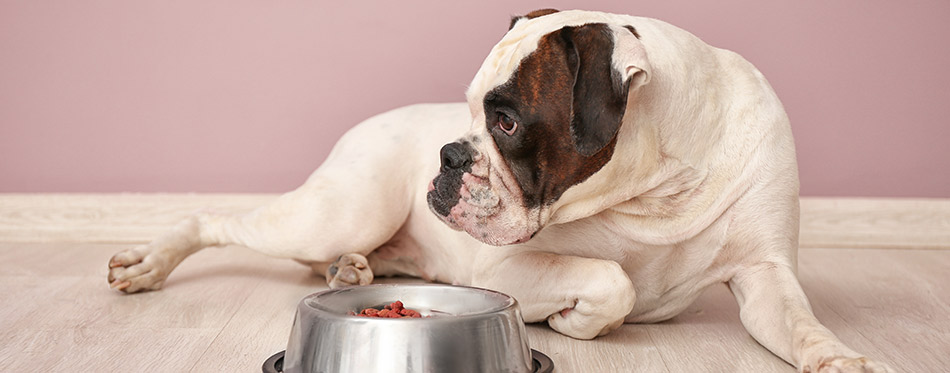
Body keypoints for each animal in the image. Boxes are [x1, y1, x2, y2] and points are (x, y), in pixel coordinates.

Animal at [109, 8, 892, 372]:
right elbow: (611, 278)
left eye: (508, 121)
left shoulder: (766, 276)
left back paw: (351, 271)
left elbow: (798, 321)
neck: (659, 190)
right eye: (466, 109)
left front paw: (839, 357)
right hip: (337, 210)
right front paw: (578, 322)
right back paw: (148, 262)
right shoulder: (505, 266)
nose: (450, 153)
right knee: (214, 221)